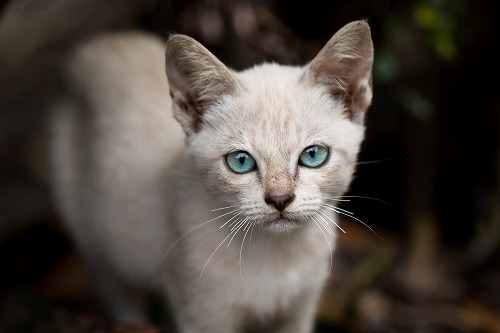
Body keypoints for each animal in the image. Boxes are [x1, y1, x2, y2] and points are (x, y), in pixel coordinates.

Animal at [48, 19, 374, 330]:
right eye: (241, 161)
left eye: (312, 155)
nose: (280, 199)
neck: (275, 255)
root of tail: (100, 44)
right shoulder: (203, 313)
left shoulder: (299, 312)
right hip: (96, 237)